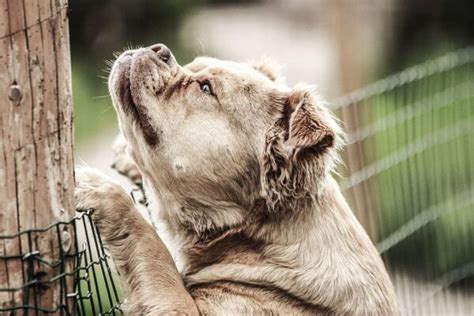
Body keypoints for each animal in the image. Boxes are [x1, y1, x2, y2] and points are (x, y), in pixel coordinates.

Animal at [75, 43, 400, 314]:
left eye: (206, 88)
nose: (160, 49)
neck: (256, 235)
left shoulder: (186, 308)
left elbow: (154, 251)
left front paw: (98, 188)